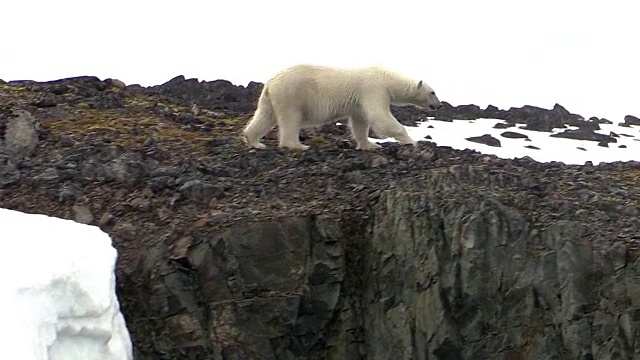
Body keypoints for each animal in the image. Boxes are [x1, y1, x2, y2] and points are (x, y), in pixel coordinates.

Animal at [240, 64, 440, 150]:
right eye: (433, 92)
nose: (438, 105)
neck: (386, 78)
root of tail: (271, 82)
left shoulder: (359, 102)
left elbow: (360, 122)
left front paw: (369, 145)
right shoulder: (373, 89)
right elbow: (380, 117)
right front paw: (411, 141)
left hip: (271, 98)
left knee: (265, 116)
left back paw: (255, 141)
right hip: (292, 94)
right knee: (291, 119)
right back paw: (299, 145)